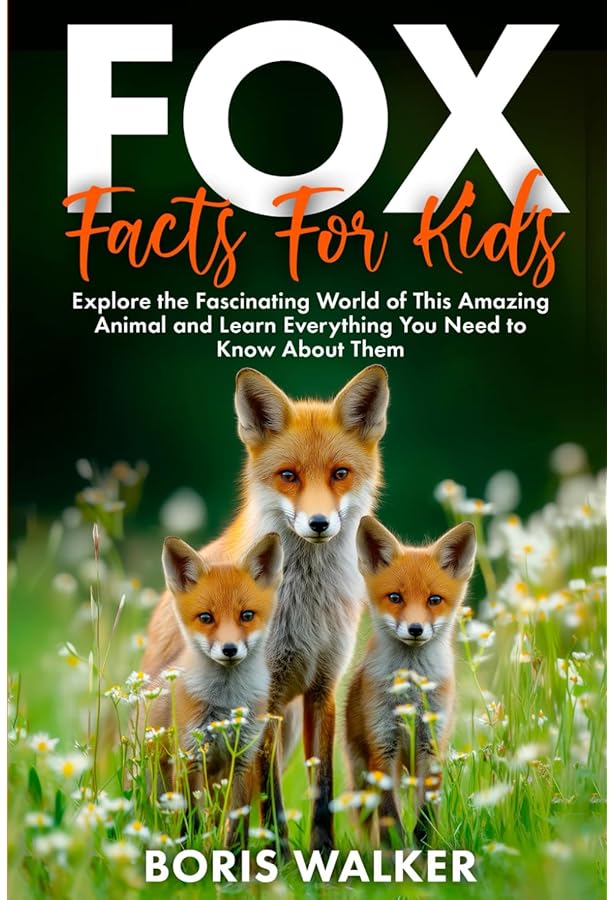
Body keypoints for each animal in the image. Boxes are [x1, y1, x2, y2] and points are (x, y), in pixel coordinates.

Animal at [141, 532, 283, 847]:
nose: (229, 649)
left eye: (247, 615)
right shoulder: (190, 757)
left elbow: (237, 825)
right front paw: (188, 853)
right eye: (206, 618)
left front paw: (234, 857)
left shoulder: (242, 759)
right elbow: (189, 821)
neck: (227, 703)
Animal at [346, 515, 476, 848]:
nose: (415, 629)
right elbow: (390, 818)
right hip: (360, 773)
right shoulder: (382, 746)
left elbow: (426, 814)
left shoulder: (431, 746)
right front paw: (397, 854)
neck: (411, 695)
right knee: (366, 822)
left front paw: (424, 849)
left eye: (434, 600)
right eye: (395, 597)